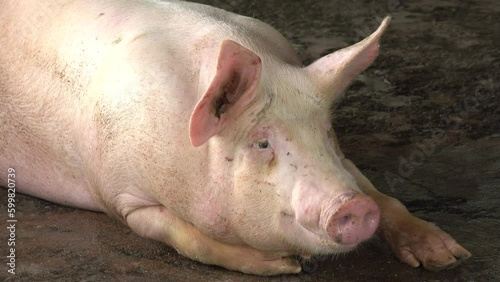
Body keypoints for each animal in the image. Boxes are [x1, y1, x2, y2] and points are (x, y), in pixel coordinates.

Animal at [0, 0, 470, 276]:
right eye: (262, 143)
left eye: (326, 131)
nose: (352, 206)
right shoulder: (123, 197)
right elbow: (186, 237)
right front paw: (283, 265)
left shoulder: (344, 162)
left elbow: (375, 188)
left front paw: (448, 257)